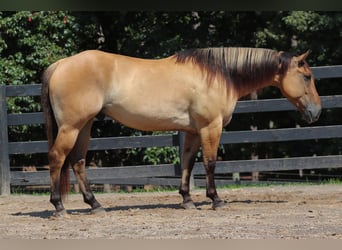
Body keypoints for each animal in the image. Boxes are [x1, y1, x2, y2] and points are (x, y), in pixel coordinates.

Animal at [41, 47, 322, 217]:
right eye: (307, 76)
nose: (317, 112)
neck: (217, 74)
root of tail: (60, 65)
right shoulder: (211, 126)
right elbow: (210, 163)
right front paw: (215, 199)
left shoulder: (193, 131)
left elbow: (188, 162)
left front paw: (187, 199)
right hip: (71, 127)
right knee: (56, 158)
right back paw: (59, 206)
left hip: (84, 126)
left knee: (77, 161)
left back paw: (95, 204)